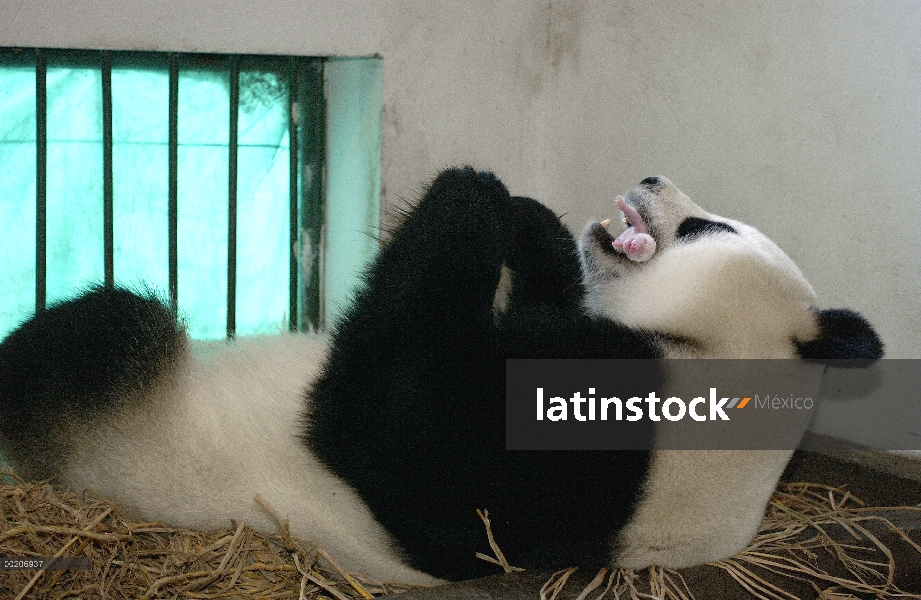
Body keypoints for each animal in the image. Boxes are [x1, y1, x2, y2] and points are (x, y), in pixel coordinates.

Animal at [0, 166, 876, 584]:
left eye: (703, 227)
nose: (653, 179)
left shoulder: (603, 451)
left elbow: (387, 419)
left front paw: (474, 196)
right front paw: (534, 221)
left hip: (124, 414)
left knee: (105, 328)